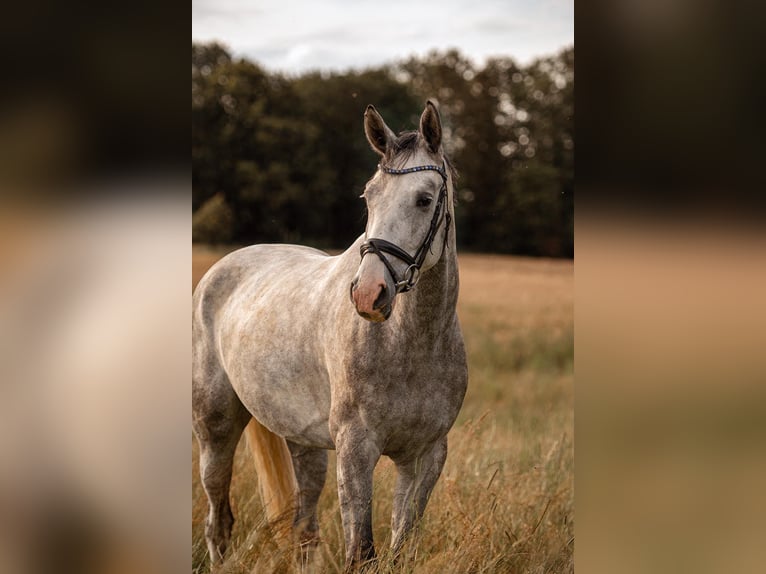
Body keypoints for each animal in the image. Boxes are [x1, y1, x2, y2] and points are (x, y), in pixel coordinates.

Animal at [194, 100, 468, 572]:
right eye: (369, 196)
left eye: (424, 198)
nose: (367, 294)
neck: (412, 346)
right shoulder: (356, 450)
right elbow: (362, 552)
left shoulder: (426, 456)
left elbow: (399, 550)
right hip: (215, 429)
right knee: (219, 522)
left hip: (302, 443)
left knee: (303, 530)